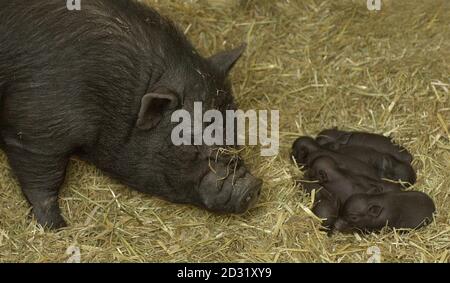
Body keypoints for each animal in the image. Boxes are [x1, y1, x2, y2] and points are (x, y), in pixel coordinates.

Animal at [0, 0, 262, 230]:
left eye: (234, 126)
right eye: (191, 142)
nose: (253, 186)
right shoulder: (36, 131)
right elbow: (43, 180)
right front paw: (57, 227)